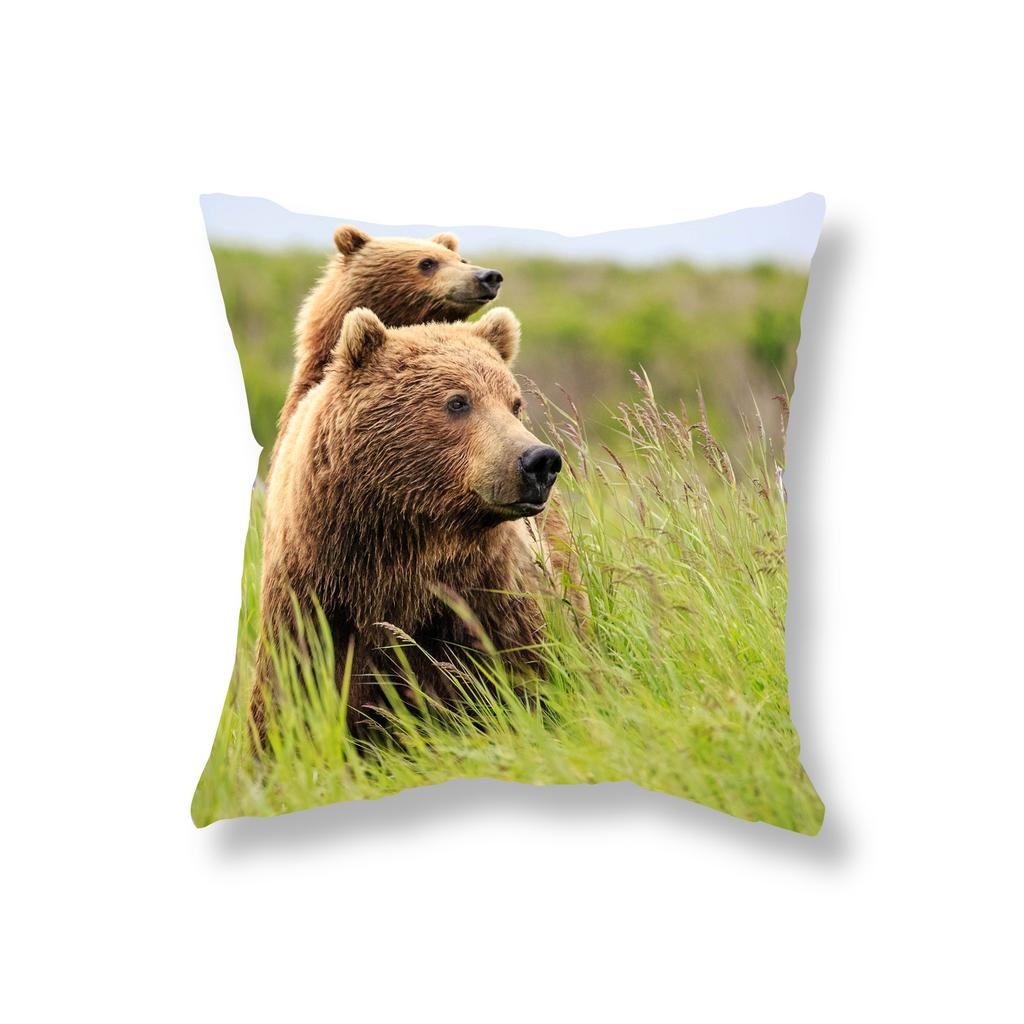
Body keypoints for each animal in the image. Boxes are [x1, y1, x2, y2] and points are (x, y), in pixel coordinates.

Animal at [252, 305, 579, 737]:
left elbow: (526, 676)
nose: (539, 461)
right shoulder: (313, 607)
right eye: (458, 401)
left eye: (514, 403)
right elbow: (289, 706)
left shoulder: (486, 598)